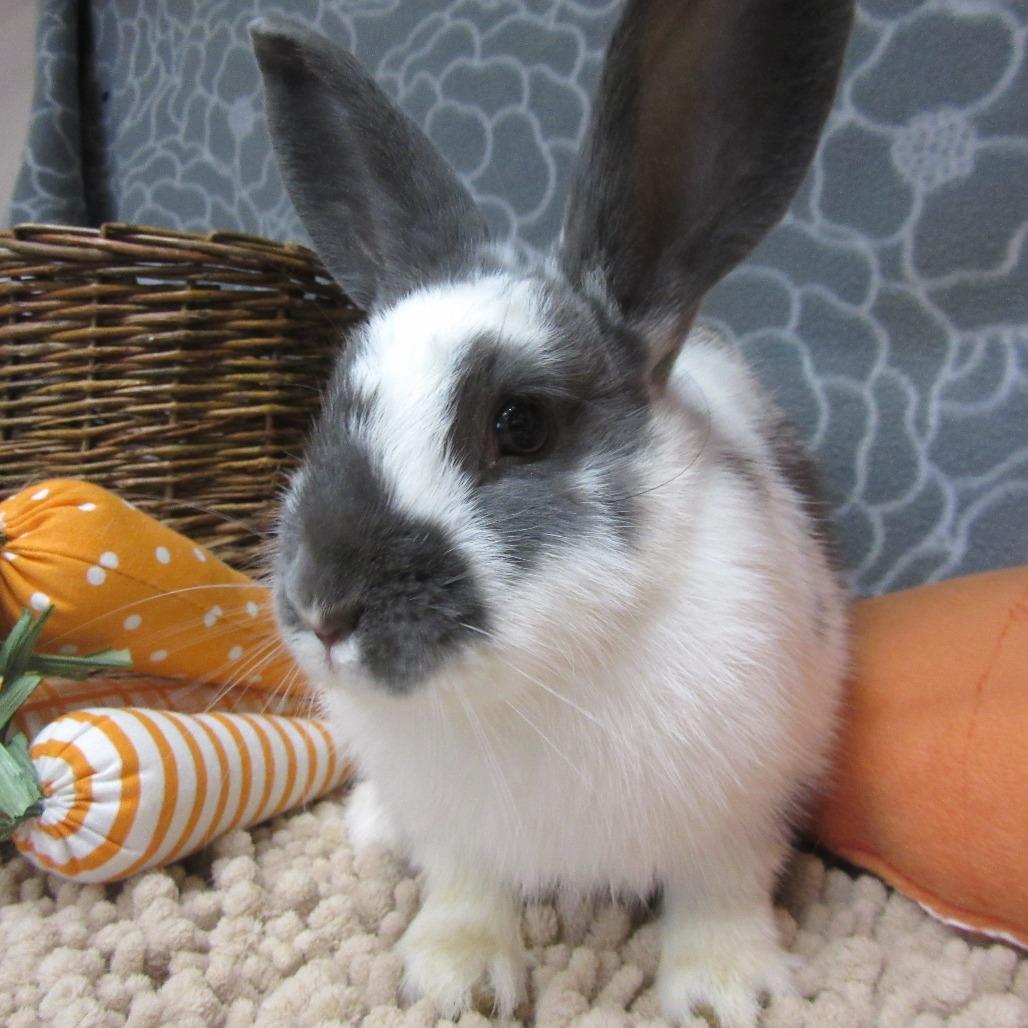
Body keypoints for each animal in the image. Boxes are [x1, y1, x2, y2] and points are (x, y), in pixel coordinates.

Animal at [252, 0, 854, 1024]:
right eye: (335, 403)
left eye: (520, 425)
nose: (323, 607)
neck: (535, 682)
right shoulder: (458, 830)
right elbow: (465, 887)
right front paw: (452, 980)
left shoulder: (745, 803)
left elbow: (720, 894)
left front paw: (721, 994)